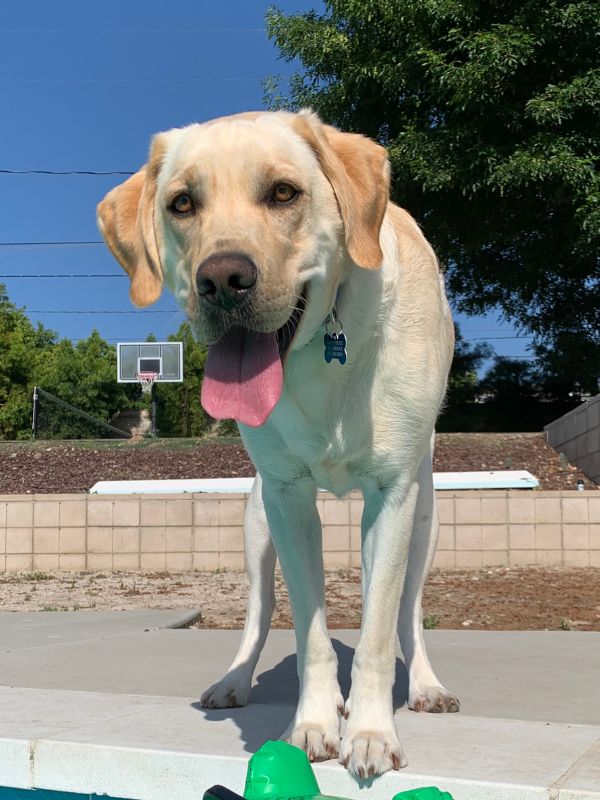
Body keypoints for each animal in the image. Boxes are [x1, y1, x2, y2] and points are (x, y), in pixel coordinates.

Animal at [96, 109, 458, 780]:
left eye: (284, 192)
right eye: (182, 203)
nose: (221, 278)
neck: (323, 348)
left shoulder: (392, 495)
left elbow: (377, 631)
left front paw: (370, 732)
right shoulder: (287, 497)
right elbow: (309, 632)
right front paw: (314, 723)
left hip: (424, 516)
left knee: (404, 612)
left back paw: (423, 685)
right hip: (255, 520)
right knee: (260, 612)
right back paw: (236, 679)